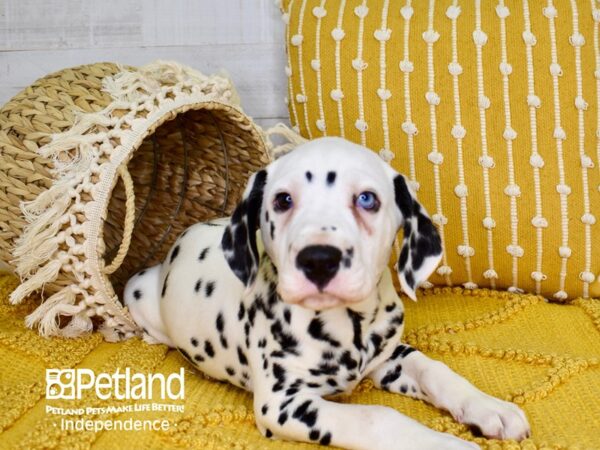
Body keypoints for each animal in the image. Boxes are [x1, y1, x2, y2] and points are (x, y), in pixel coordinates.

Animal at [124, 137, 528, 450]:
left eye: (367, 199)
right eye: (283, 200)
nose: (319, 260)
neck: (348, 326)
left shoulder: (389, 358)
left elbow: (434, 369)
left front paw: (488, 406)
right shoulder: (283, 403)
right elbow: (378, 417)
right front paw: (445, 443)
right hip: (137, 291)